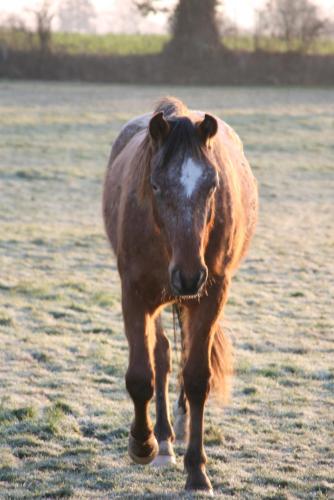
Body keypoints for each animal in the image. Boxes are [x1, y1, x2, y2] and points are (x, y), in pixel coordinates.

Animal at [102, 96, 258, 492]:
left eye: (212, 186)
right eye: (156, 186)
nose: (188, 276)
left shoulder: (211, 295)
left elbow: (198, 377)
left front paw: (197, 471)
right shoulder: (134, 294)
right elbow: (141, 376)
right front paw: (143, 444)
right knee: (162, 355)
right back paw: (162, 440)